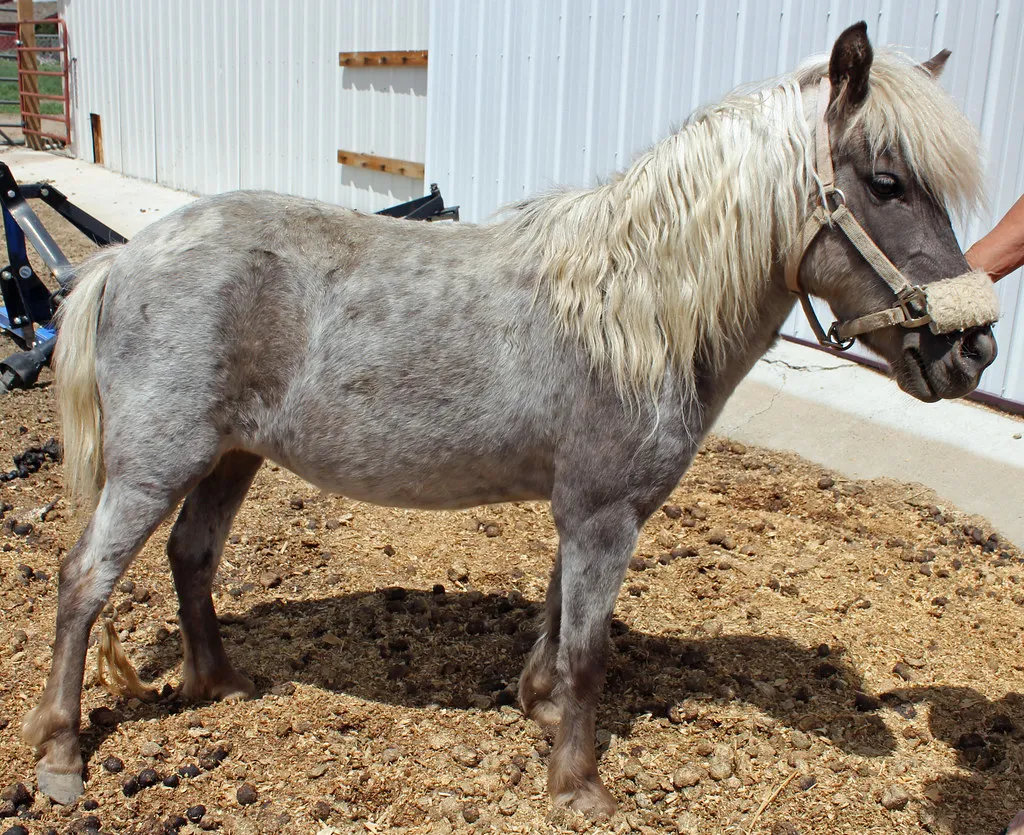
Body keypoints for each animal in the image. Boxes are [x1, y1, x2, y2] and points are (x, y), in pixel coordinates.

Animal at [24, 22, 1000, 816]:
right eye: (887, 183)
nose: (973, 351)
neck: (636, 313)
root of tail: (120, 259)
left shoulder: (587, 511)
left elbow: (559, 618)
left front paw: (538, 705)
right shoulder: (604, 514)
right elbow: (590, 651)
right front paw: (578, 784)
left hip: (231, 456)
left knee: (192, 554)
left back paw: (219, 682)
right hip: (154, 465)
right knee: (83, 581)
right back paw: (62, 753)